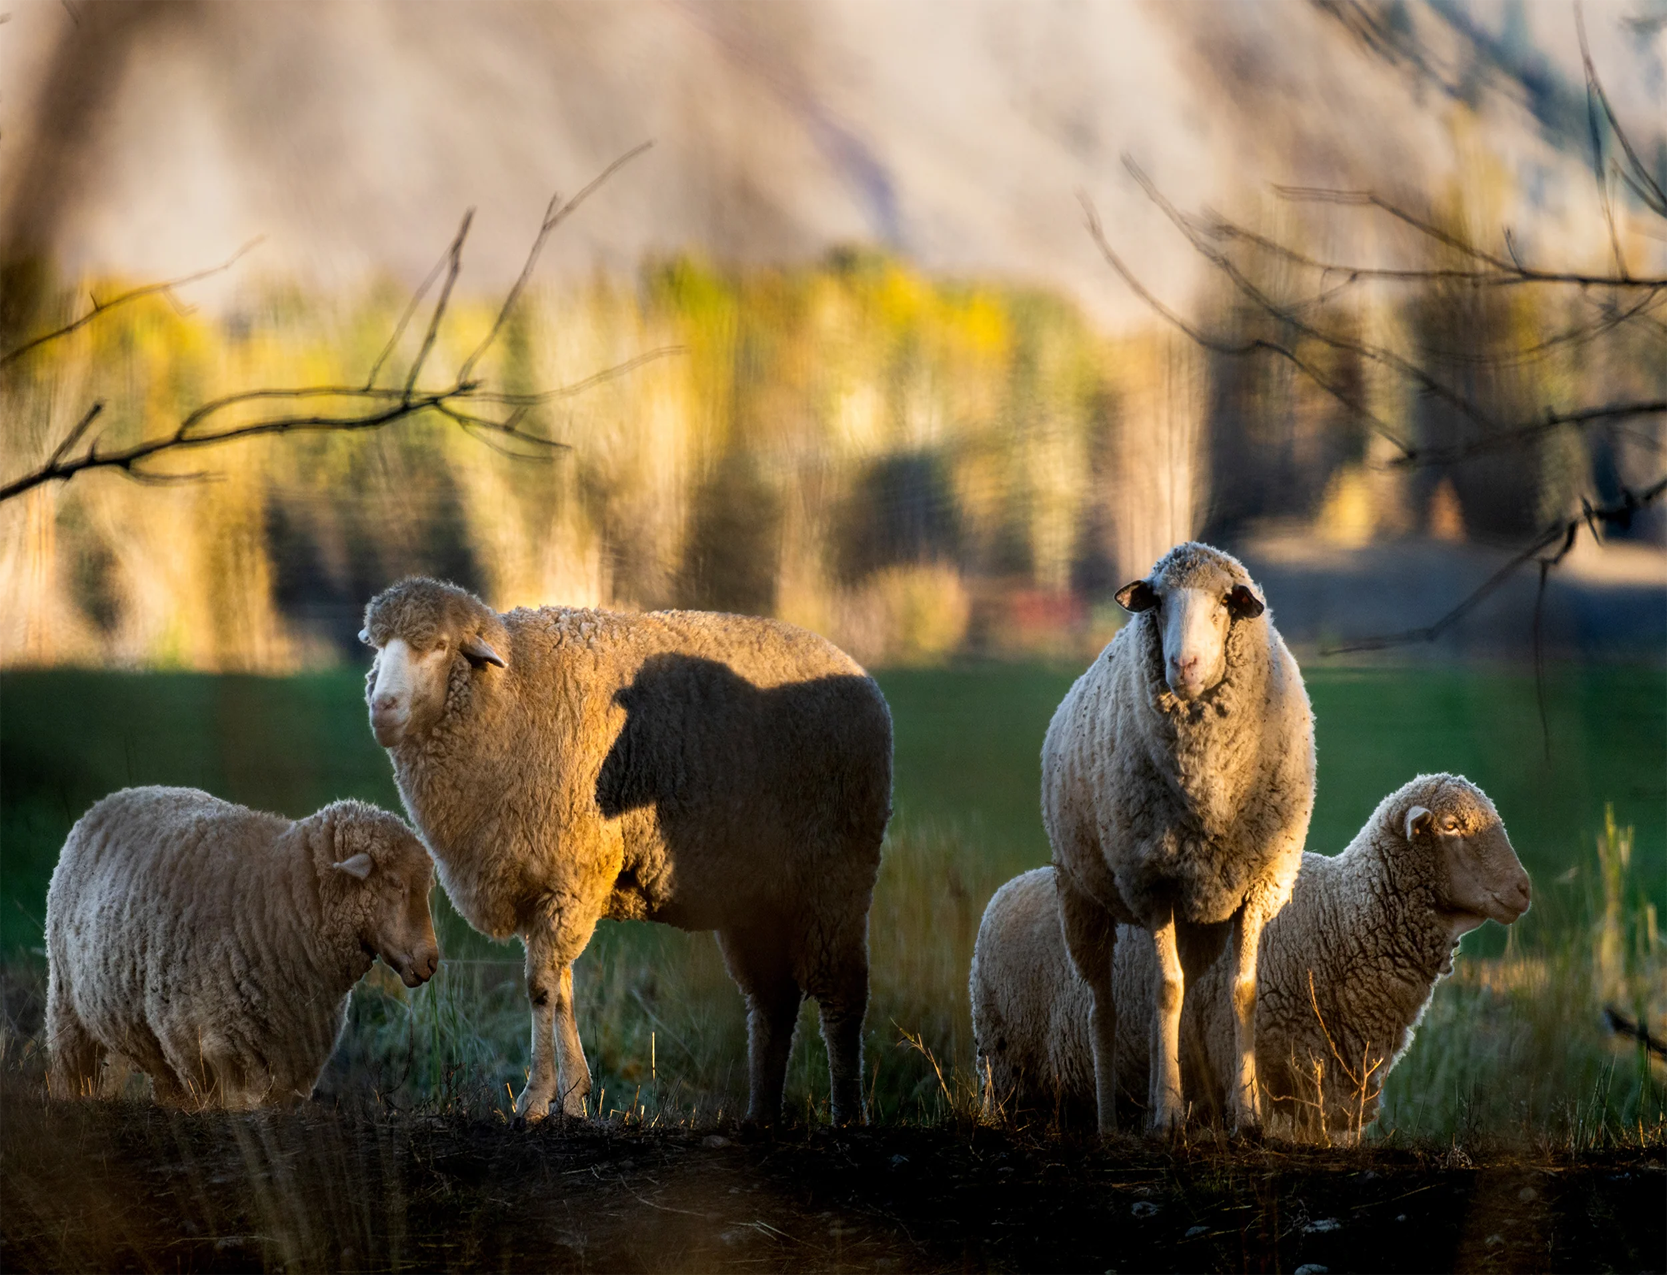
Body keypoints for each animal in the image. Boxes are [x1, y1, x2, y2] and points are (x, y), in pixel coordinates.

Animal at [45, 786, 439, 1109]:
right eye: (394, 882)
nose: (431, 960)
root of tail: (109, 799)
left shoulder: (297, 1059)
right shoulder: (204, 1050)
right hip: (67, 1005)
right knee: (75, 1070)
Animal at [359, 576, 893, 1125]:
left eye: (440, 646)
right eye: (377, 646)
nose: (382, 708)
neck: (513, 694)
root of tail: (860, 676)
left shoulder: (570, 877)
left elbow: (541, 988)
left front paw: (536, 1098)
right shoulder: (541, 889)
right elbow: (562, 989)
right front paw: (573, 1095)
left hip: (836, 869)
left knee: (841, 994)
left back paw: (848, 1112)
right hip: (757, 895)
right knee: (773, 1001)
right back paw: (761, 1115)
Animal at [973, 774, 1531, 1142]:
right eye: (1453, 826)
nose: (1524, 890)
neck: (1340, 918)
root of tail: (1010, 887)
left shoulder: (1342, 1094)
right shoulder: (1258, 1061)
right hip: (1000, 1063)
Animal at [1041, 541, 1315, 1132]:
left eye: (1225, 603)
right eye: (1159, 602)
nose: (1182, 666)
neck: (1207, 787)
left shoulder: (1256, 885)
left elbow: (1242, 992)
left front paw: (1246, 1112)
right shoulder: (1153, 883)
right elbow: (1166, 990)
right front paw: (1166, 1114)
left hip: (1198, 918)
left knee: (1175, 997)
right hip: (1081, 894)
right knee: (1106, 1008)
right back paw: (1112, 1121)